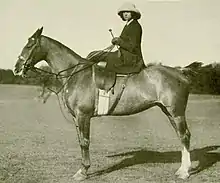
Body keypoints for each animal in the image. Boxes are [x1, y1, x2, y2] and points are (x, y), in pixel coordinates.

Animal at [14, 26, 192, 180]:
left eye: (29, 45)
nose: (16, 68)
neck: (76, 74)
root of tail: (180, 72)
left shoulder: (83, 116)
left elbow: (85, 142)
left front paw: (83, 171)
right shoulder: (76, 118)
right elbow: (81, 142)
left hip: (176, 113)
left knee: (184, 136)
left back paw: (185, 171)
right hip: (168, 111)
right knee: (181, 136)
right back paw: (182, 169)